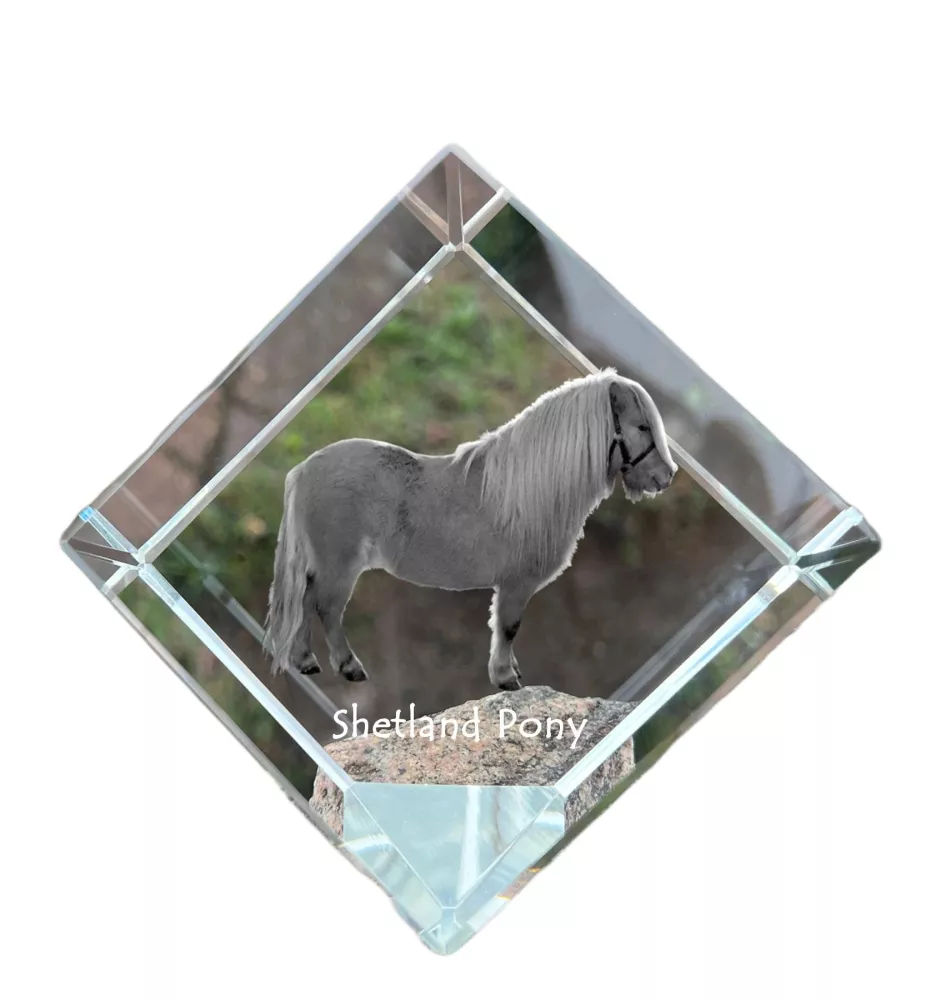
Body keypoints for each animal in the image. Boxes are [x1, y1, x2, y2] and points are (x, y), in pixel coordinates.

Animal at [263, 369, 677, 691]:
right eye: (642, 426)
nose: (667, 477)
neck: (530, 490)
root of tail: (304, 469)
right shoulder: (516, 584)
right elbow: (508, 626)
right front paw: (504, 677)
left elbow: (502, 627)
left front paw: (511, 671)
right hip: (340, 566)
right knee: (327, 608)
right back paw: (348, 667)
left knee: (304, 600)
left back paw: (305, 660)